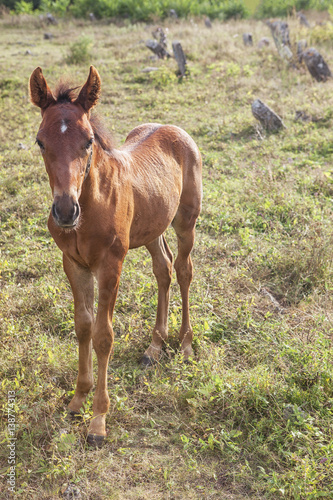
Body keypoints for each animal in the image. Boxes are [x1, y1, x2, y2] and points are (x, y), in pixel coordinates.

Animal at [29, 66, 202, 446]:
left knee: (184, 270)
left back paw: (184, 345)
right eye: (40, 141)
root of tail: (173, 127)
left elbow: (103, 335)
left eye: (88, 140)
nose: (65, 211)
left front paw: (98, 421)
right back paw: (154, 347)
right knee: (163, 268)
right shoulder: (73, 264)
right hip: (151, 228)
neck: (91, 205)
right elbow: (82, 326)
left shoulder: (110, 265)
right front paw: (77, 400)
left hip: (186, 222)